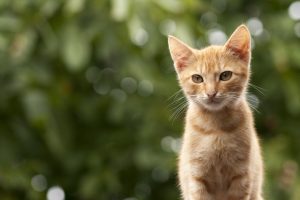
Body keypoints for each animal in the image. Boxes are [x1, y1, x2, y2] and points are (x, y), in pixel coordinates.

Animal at [168, 25, 264, 200]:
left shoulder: (241, 177)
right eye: (197, 78)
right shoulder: (196, 179)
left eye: (225, 75)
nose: (211, 93)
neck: (216, 127)